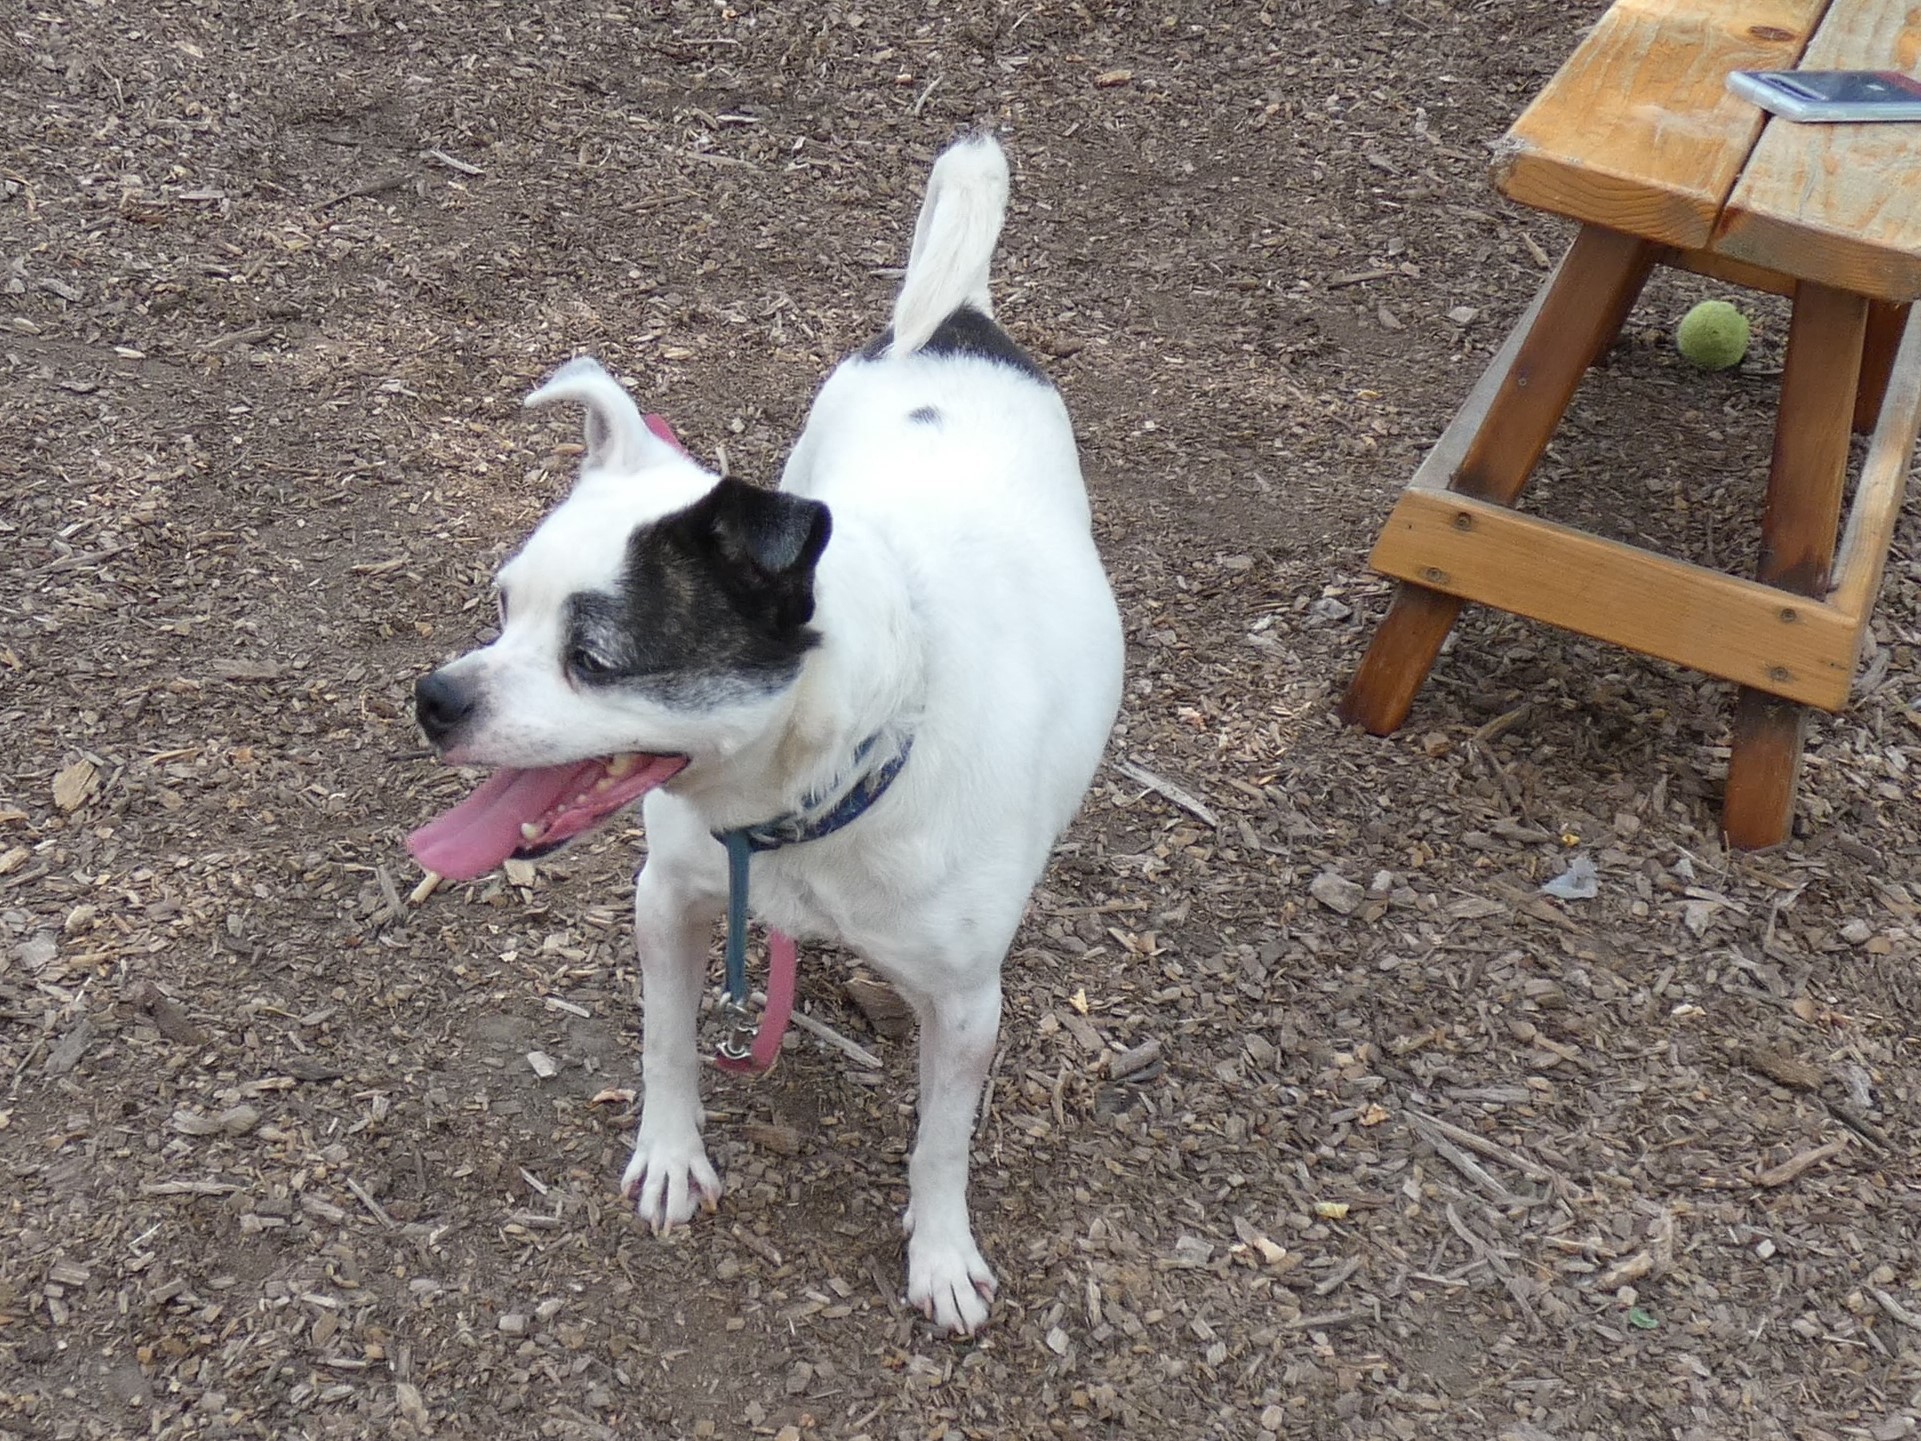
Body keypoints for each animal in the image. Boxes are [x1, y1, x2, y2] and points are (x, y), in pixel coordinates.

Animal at [405, 138, 1121, 1344]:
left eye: (594, 657)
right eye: (501, 606)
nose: (433, 697)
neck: (814, 799)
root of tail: (953, 321)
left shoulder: (966, 1007)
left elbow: (942, 1142)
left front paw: (940, 1252)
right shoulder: (668, 899)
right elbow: (666, 1040)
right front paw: (669, 1152)